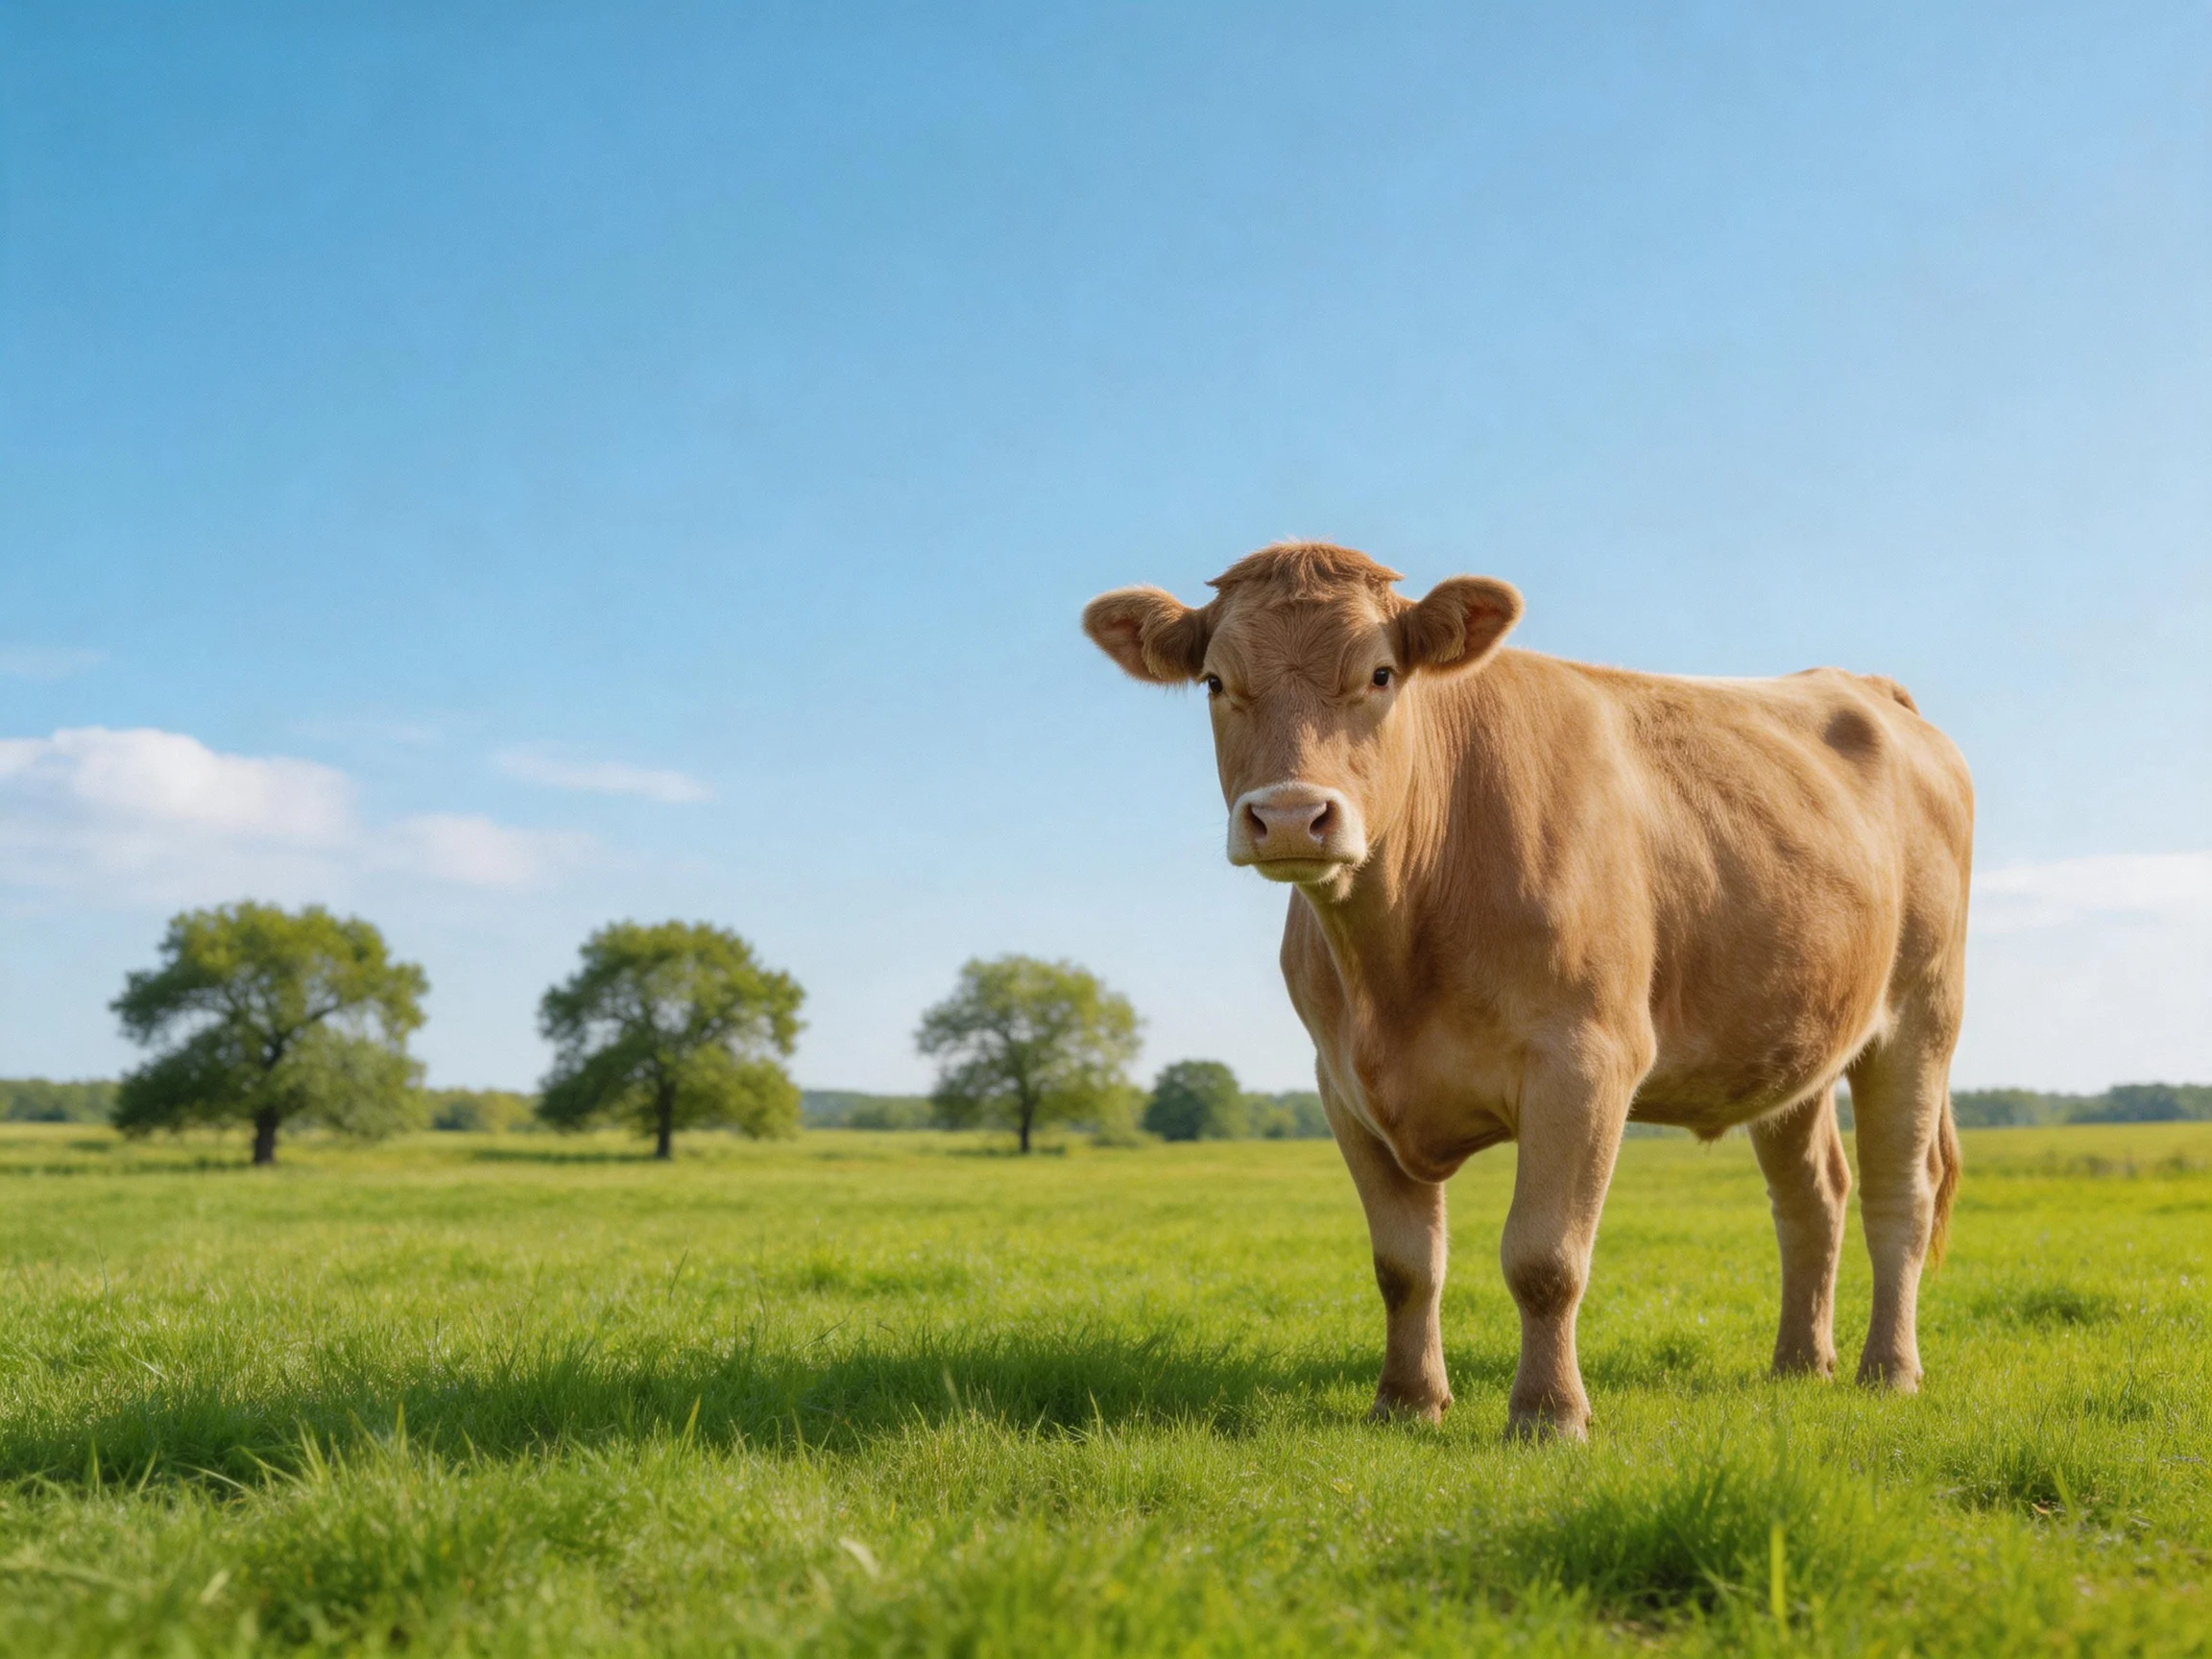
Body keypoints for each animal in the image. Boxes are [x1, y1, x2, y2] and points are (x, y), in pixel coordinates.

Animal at [1083, 542, 1972, 1440]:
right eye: (1214, 682)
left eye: (1380, 673)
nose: (1294, 816)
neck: (1396, 960)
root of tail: (1863, 686)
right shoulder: (1341, 1084)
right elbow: (1404, 1264)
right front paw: (1406, 1402)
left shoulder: (1584, 1063)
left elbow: (1544, 1259)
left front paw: (1547, 1415)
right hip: (1794, 1040)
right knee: (1811, 1196)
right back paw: (1798, 1363)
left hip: (1921, 1015)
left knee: (1900, 1194)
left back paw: (1888, 1370)